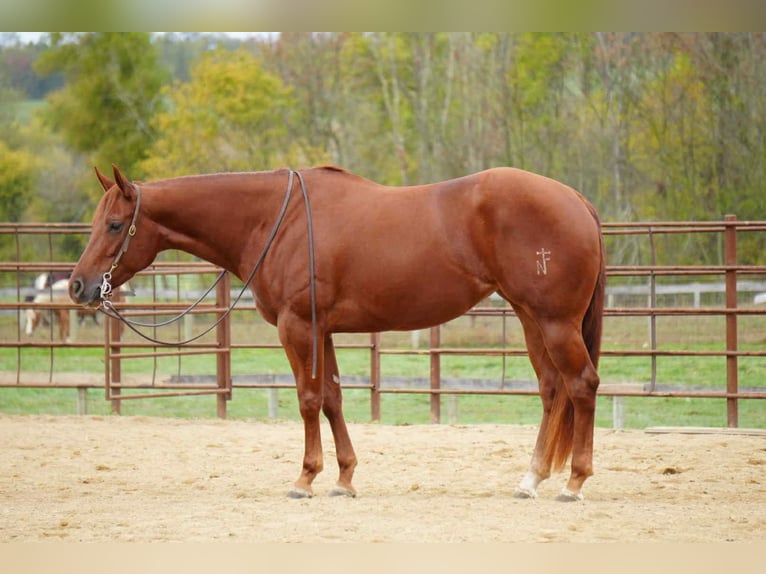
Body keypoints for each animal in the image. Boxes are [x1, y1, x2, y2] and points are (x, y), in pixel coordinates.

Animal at [69, 164, 606, 501]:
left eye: (115, 224)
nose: (79, 285)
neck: (275, 219)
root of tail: (575, 199)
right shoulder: (320, 329)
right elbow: (331, 397)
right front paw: (345, 478)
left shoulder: (297, 326)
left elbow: (308, 399)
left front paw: (305, 478)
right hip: (531, 317)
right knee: (553, 389)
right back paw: (531, 479)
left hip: (554, 322)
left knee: (582, 385)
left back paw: (574, 483)